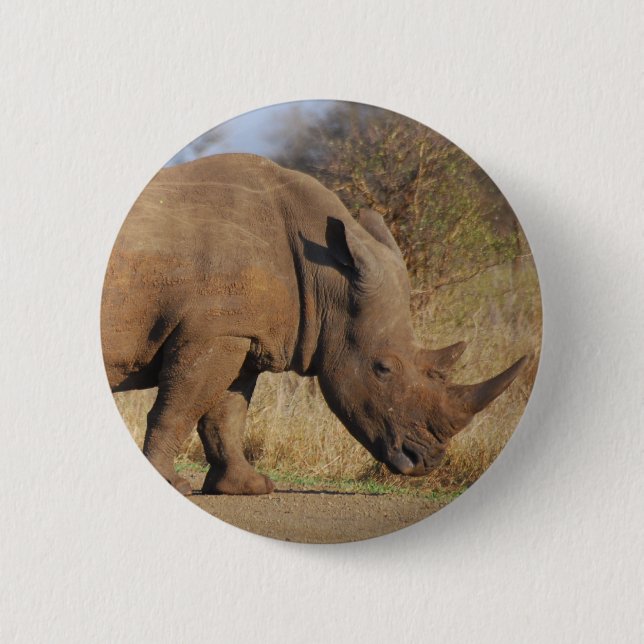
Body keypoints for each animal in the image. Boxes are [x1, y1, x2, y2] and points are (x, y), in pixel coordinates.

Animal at [101, 153, 526, 495]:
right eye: (383, 369)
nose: (425, 462)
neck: (327, 277)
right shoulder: (214, 332)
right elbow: (179, 409)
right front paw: (170, 483)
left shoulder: (241, 332)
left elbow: (226, 416)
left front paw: (247, 487)